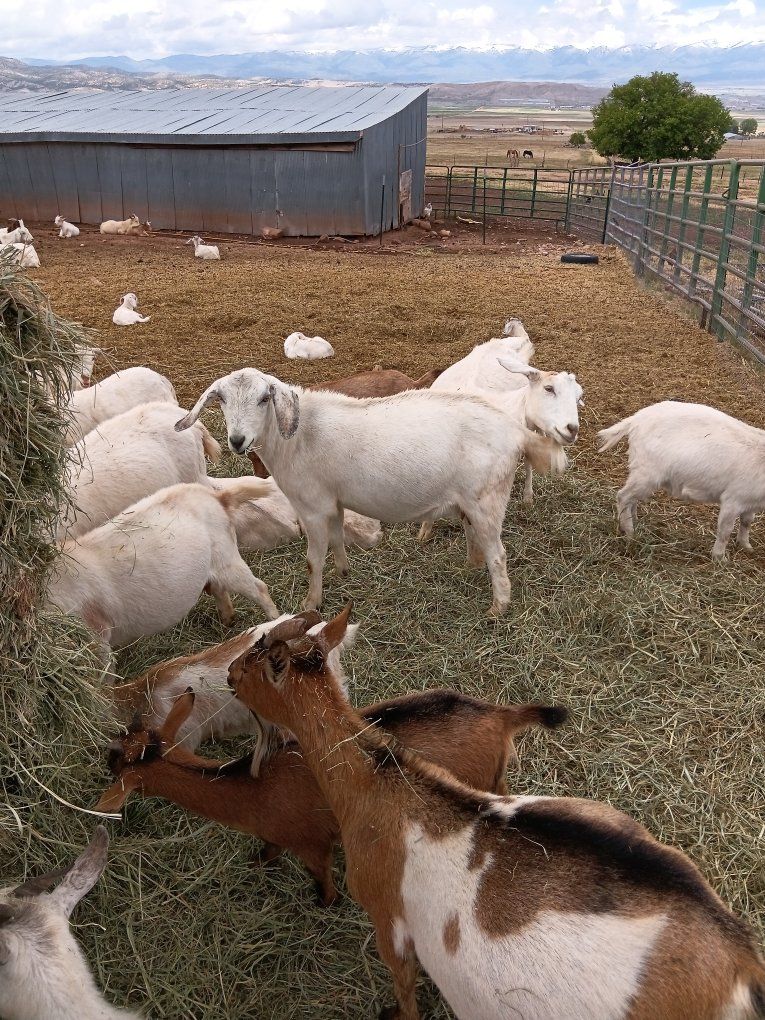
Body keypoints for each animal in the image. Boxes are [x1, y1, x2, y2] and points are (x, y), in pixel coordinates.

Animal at [47, 479, 279, 648]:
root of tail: (217, 497)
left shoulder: (97, 632)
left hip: (227, 559)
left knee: (259, 587)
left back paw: (275, 620)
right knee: (219, 589)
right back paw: (228, 621)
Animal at [176, 369, 566, 615]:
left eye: (263, 399)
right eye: (221, 399)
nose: (237, 441)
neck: (296, 439)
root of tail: (516, 431)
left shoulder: (312, 507)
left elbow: (312, 559)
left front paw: (311, 604)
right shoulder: (333, 502)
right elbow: (337, 539)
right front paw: (343, 572)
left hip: (488, 498)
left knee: (498, 554)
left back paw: (498, 607)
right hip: (472, 501)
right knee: (479, 541)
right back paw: (470, 567)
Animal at [228, 604, 765, 1020]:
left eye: (256, 659)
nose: (230, 675)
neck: (382, 786)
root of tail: (741, 967)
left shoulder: (387, 916)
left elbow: (403, 981)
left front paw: (394, 1012)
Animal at [599, 400, 765, 558]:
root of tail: (636, 419)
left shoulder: (750, 502)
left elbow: (747, 522)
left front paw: (746, 546)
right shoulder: (732, 500)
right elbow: (725, 531)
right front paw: (719, 558)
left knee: (631, 499)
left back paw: (636, 524)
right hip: (646, 472)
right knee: (623, 496)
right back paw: (630, 534)